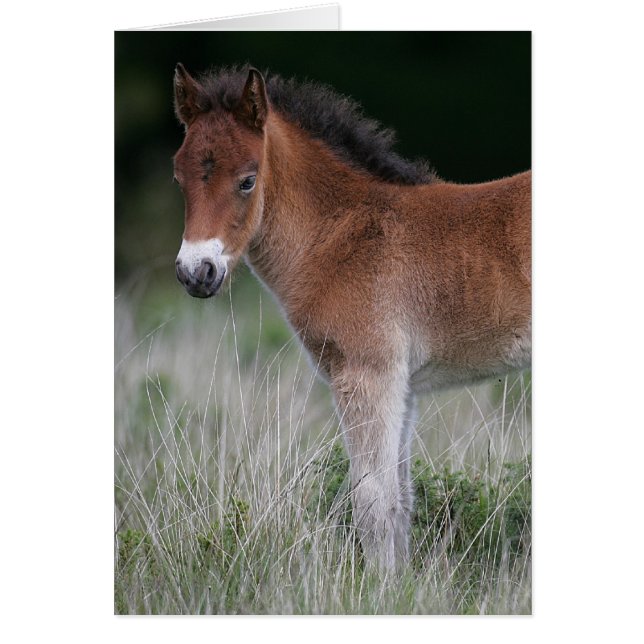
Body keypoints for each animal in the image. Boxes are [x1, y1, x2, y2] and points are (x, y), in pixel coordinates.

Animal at [172, 64, 531, 573]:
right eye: (178, 177)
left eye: (247, 180)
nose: (195, 272)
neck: (342, 234)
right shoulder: (401, 386)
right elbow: (400, 499)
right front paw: (400, 583)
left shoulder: (368, 375)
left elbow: (371, 502)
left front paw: (381, 586)